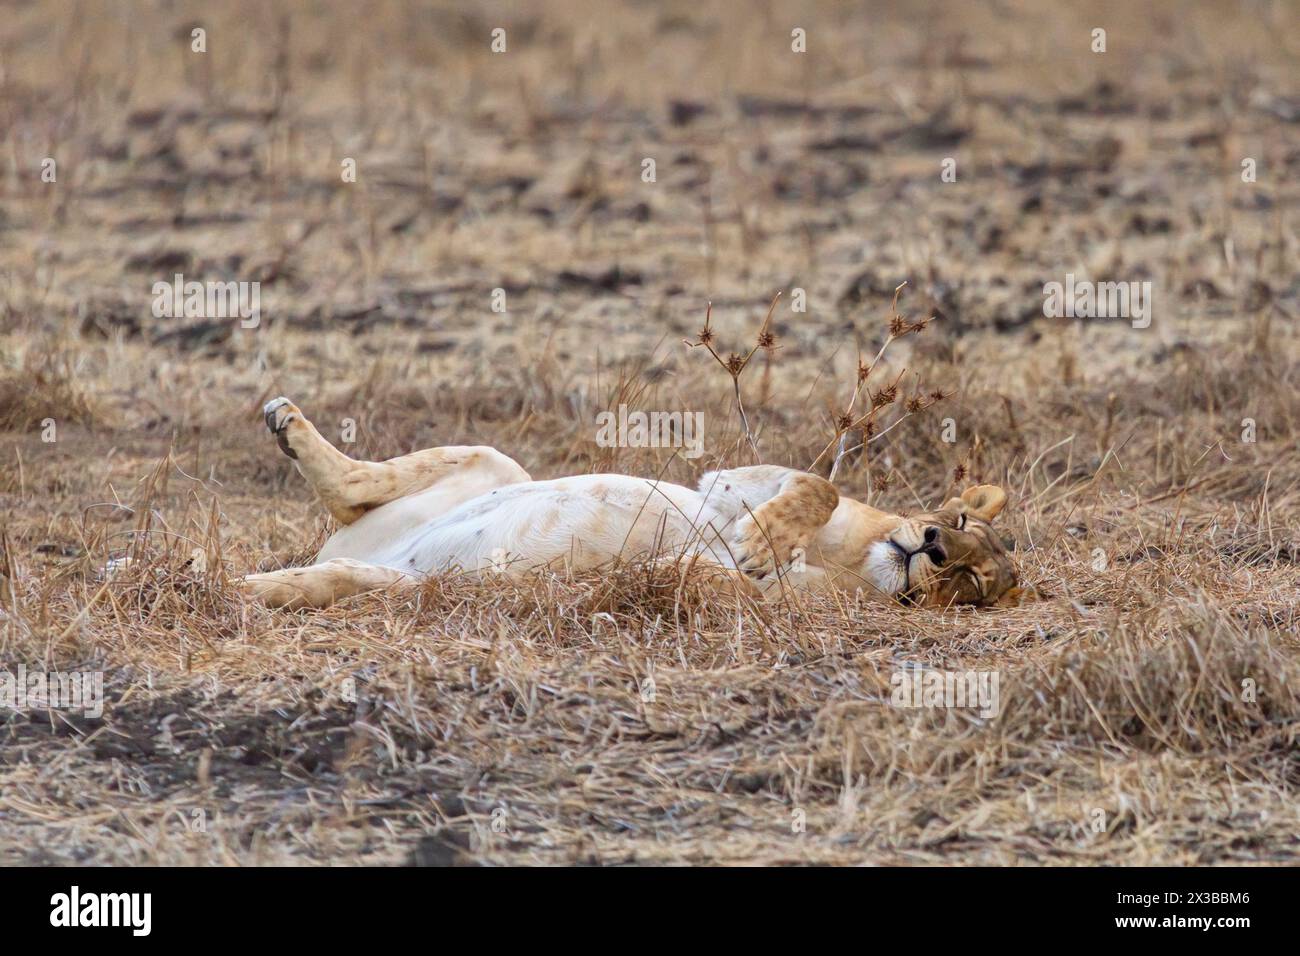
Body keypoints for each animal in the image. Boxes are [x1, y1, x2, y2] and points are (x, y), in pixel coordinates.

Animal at [244, 398, 1024, 608]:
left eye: (975, 582)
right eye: (959, 520)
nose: (935, 549)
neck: (855, 559)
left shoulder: (765, 603)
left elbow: (720, 577)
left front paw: (743, 555)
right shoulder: (732, 479)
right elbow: (818, 484)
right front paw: (757, 538)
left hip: (413, 583)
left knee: (330, 577)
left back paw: (254, 586)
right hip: (495, 462)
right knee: (352, 485)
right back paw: (287, 423)